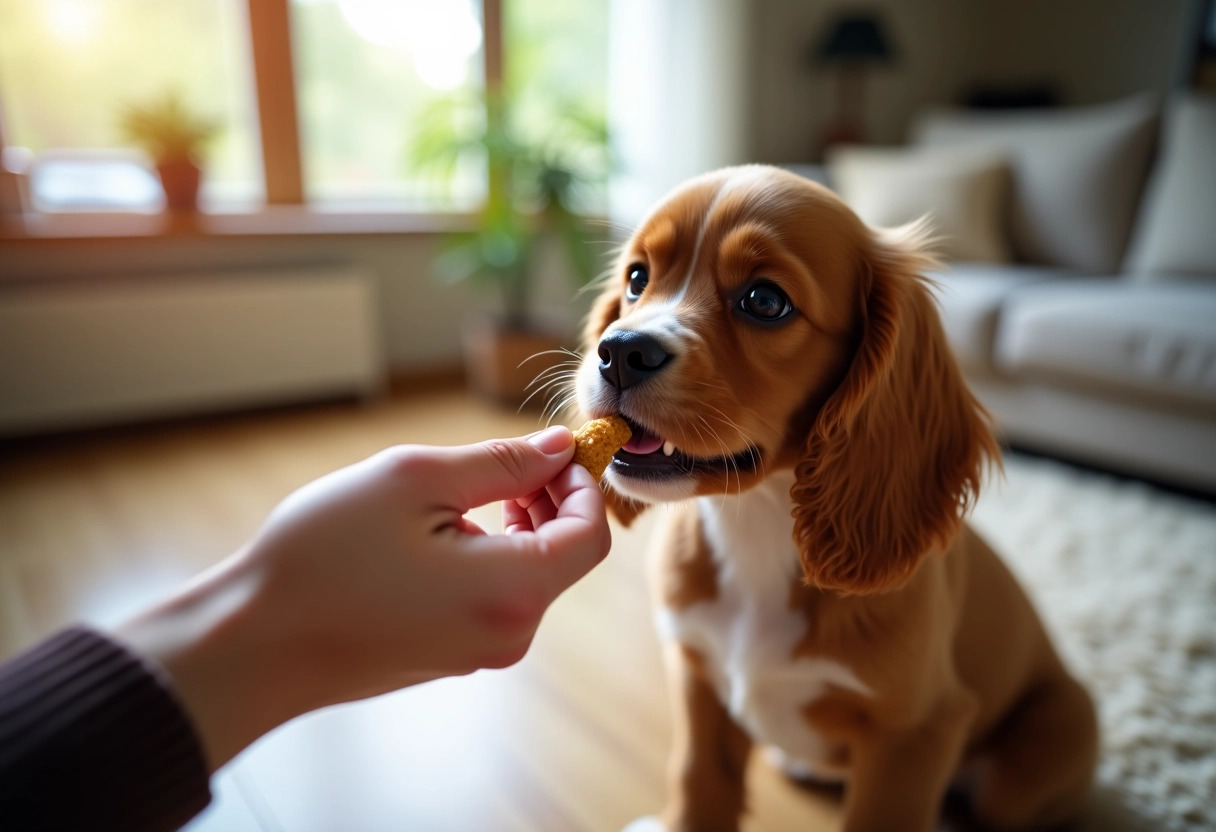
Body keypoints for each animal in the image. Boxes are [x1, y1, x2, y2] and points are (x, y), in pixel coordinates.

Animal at [573, 167, 1099, 832]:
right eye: (638, 279)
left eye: (764, 301)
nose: (619, 351)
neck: (758, 523)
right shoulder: (696, 675)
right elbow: (698, 781)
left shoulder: (916, 731)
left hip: (1042, 751)